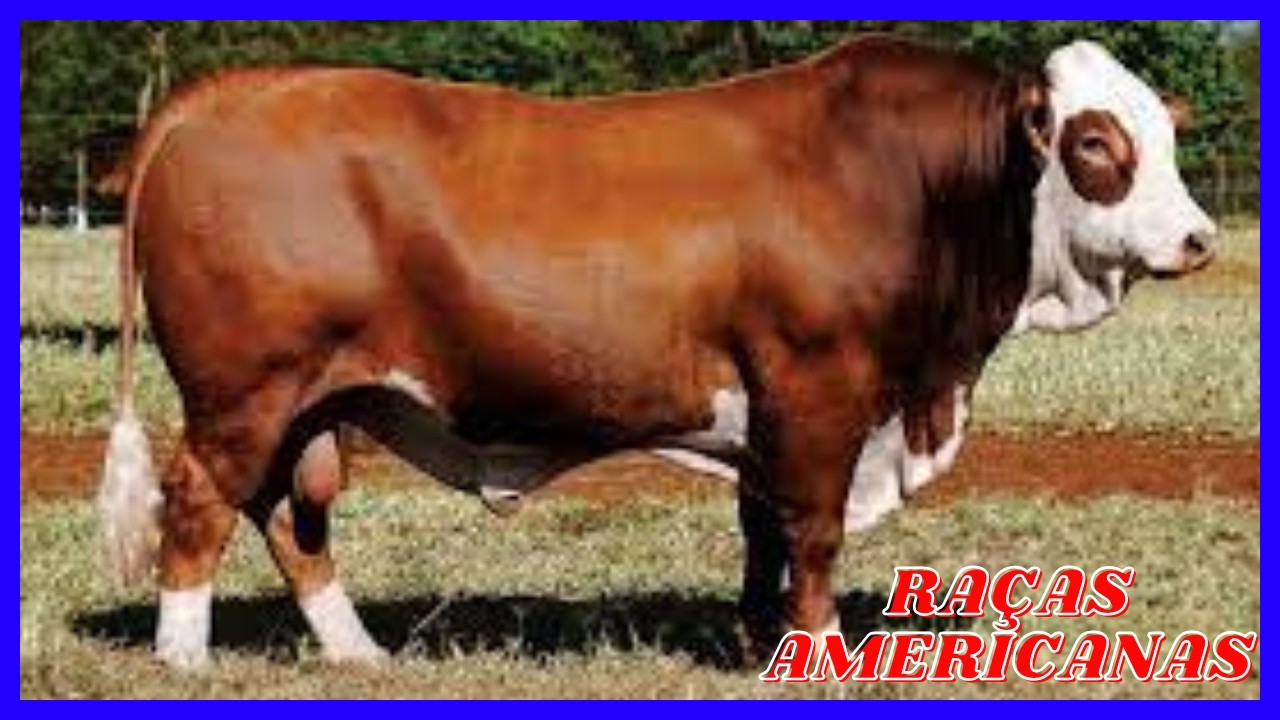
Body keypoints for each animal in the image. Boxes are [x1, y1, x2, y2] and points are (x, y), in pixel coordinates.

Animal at [96, 34, 1216, 670]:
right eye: (1093, 144)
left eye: (1163, 137)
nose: (1199, 239)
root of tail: (216, 95)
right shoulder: (819, 390)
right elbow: (812, 534)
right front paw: (820, 655)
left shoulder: (772, 415)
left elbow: (764, 533)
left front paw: (762, 641)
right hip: (246, 391)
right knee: (198, 504)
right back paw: (185, 662)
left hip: (313, 400)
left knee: (291, 516)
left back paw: (357, 654)